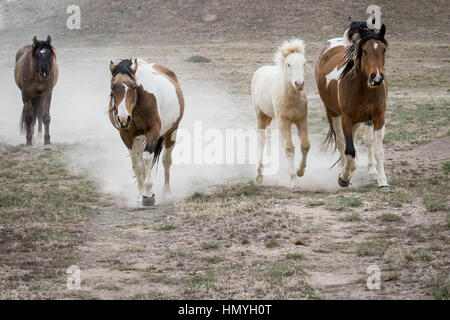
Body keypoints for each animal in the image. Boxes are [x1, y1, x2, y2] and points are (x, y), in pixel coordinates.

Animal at [108, 58, 184, 206]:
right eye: (112, 88)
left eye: (133, 86)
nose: (123, 118)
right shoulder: (126, 135)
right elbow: (137, 164)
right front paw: (139, 196)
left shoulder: (153, 131)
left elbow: (147, 157)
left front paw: (148, 195)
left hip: (171, 131)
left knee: (166, 161)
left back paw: (166, 194)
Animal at [251, 38, 312, 188]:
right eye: (289, 64)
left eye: (304, 63)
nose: (299, 84)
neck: (291, 98)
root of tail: (260, 70)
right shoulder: (284, 121)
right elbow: (289, 148)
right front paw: (294, 181)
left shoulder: (302, 119)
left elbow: (305, 145)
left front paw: (300, 171)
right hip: (260, 115)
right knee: (261, 141)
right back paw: (259, 175)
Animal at [312, 21, 390, 192]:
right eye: (365, 51)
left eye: (384, 50)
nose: (377, 77)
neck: (363, 89)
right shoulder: (346, 119)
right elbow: (349, 150)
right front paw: (344, 177)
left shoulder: (379, 117)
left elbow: (378, 149)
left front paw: (382, 181)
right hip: (334, 114)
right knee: (342, 143)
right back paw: (344, 168)